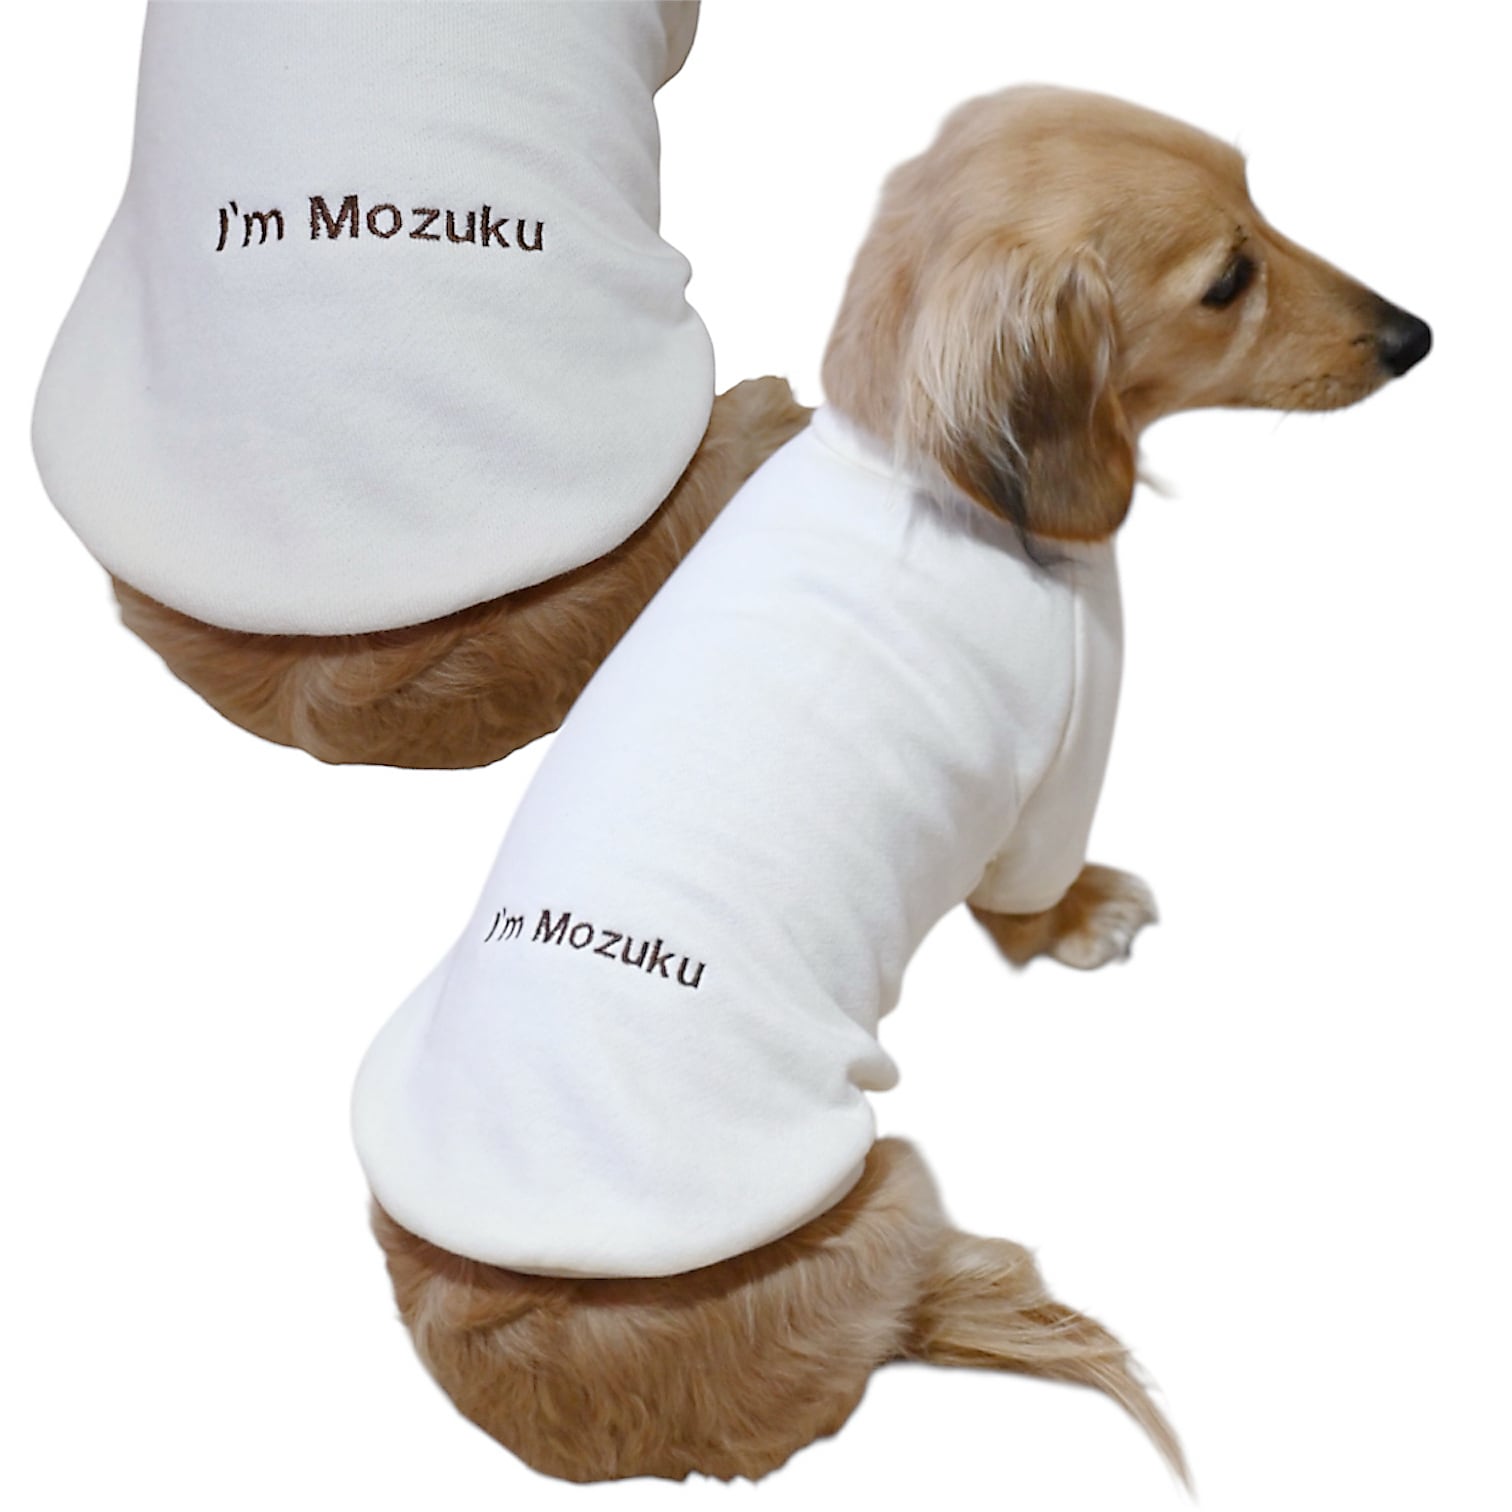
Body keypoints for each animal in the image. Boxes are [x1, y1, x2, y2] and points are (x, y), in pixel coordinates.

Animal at [352, 85, 1430, 1483]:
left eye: (1262, 199)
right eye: (1227, 281)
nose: (1417, 337)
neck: (920, 469)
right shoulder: (1062, 756)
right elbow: (1032, 896)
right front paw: (1084, 920)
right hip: (884, 1170)